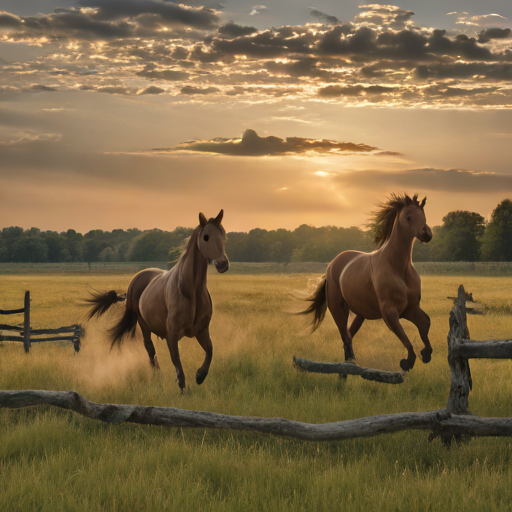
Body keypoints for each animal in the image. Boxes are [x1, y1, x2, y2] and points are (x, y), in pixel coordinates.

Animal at [85, 210, 228, 390]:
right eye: (206, 237)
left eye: (223, 235)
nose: (223, 264)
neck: (190, 290)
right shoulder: (172, 335)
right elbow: (177, 364)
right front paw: (183, 387)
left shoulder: (202, 331)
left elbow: (210, 351)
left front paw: (199, 376)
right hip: (144, 325)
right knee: (150, 350)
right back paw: (157, 376)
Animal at [298, 194, 434, 370]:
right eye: (409, 217)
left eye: (423, 215)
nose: (427, 234)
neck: (398, 267)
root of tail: (331, 265)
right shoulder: (390, 312)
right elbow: (403, 334)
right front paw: (407, 361)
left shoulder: (410, 309)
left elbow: (425, 323)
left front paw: (426, 353)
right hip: (338, 309)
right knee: (345, 336)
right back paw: (350, 365)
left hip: (359, 314)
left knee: (348, 337)